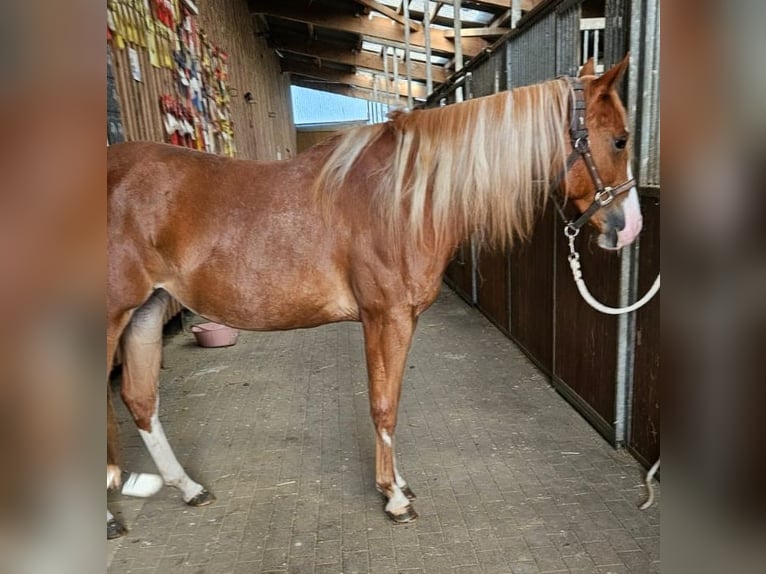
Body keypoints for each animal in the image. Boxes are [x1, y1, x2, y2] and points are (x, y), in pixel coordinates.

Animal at [105, 56, 640, 536]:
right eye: (620, 139)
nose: (630, 227)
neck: (403, 197)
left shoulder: (402, 318)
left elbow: (393, 398)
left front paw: (398, 484)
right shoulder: (385, 317)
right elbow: (384, 404)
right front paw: (395, 498)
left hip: (148, 311)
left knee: (139, 399)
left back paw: (188, 488)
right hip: (114, 316)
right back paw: (112, 518)